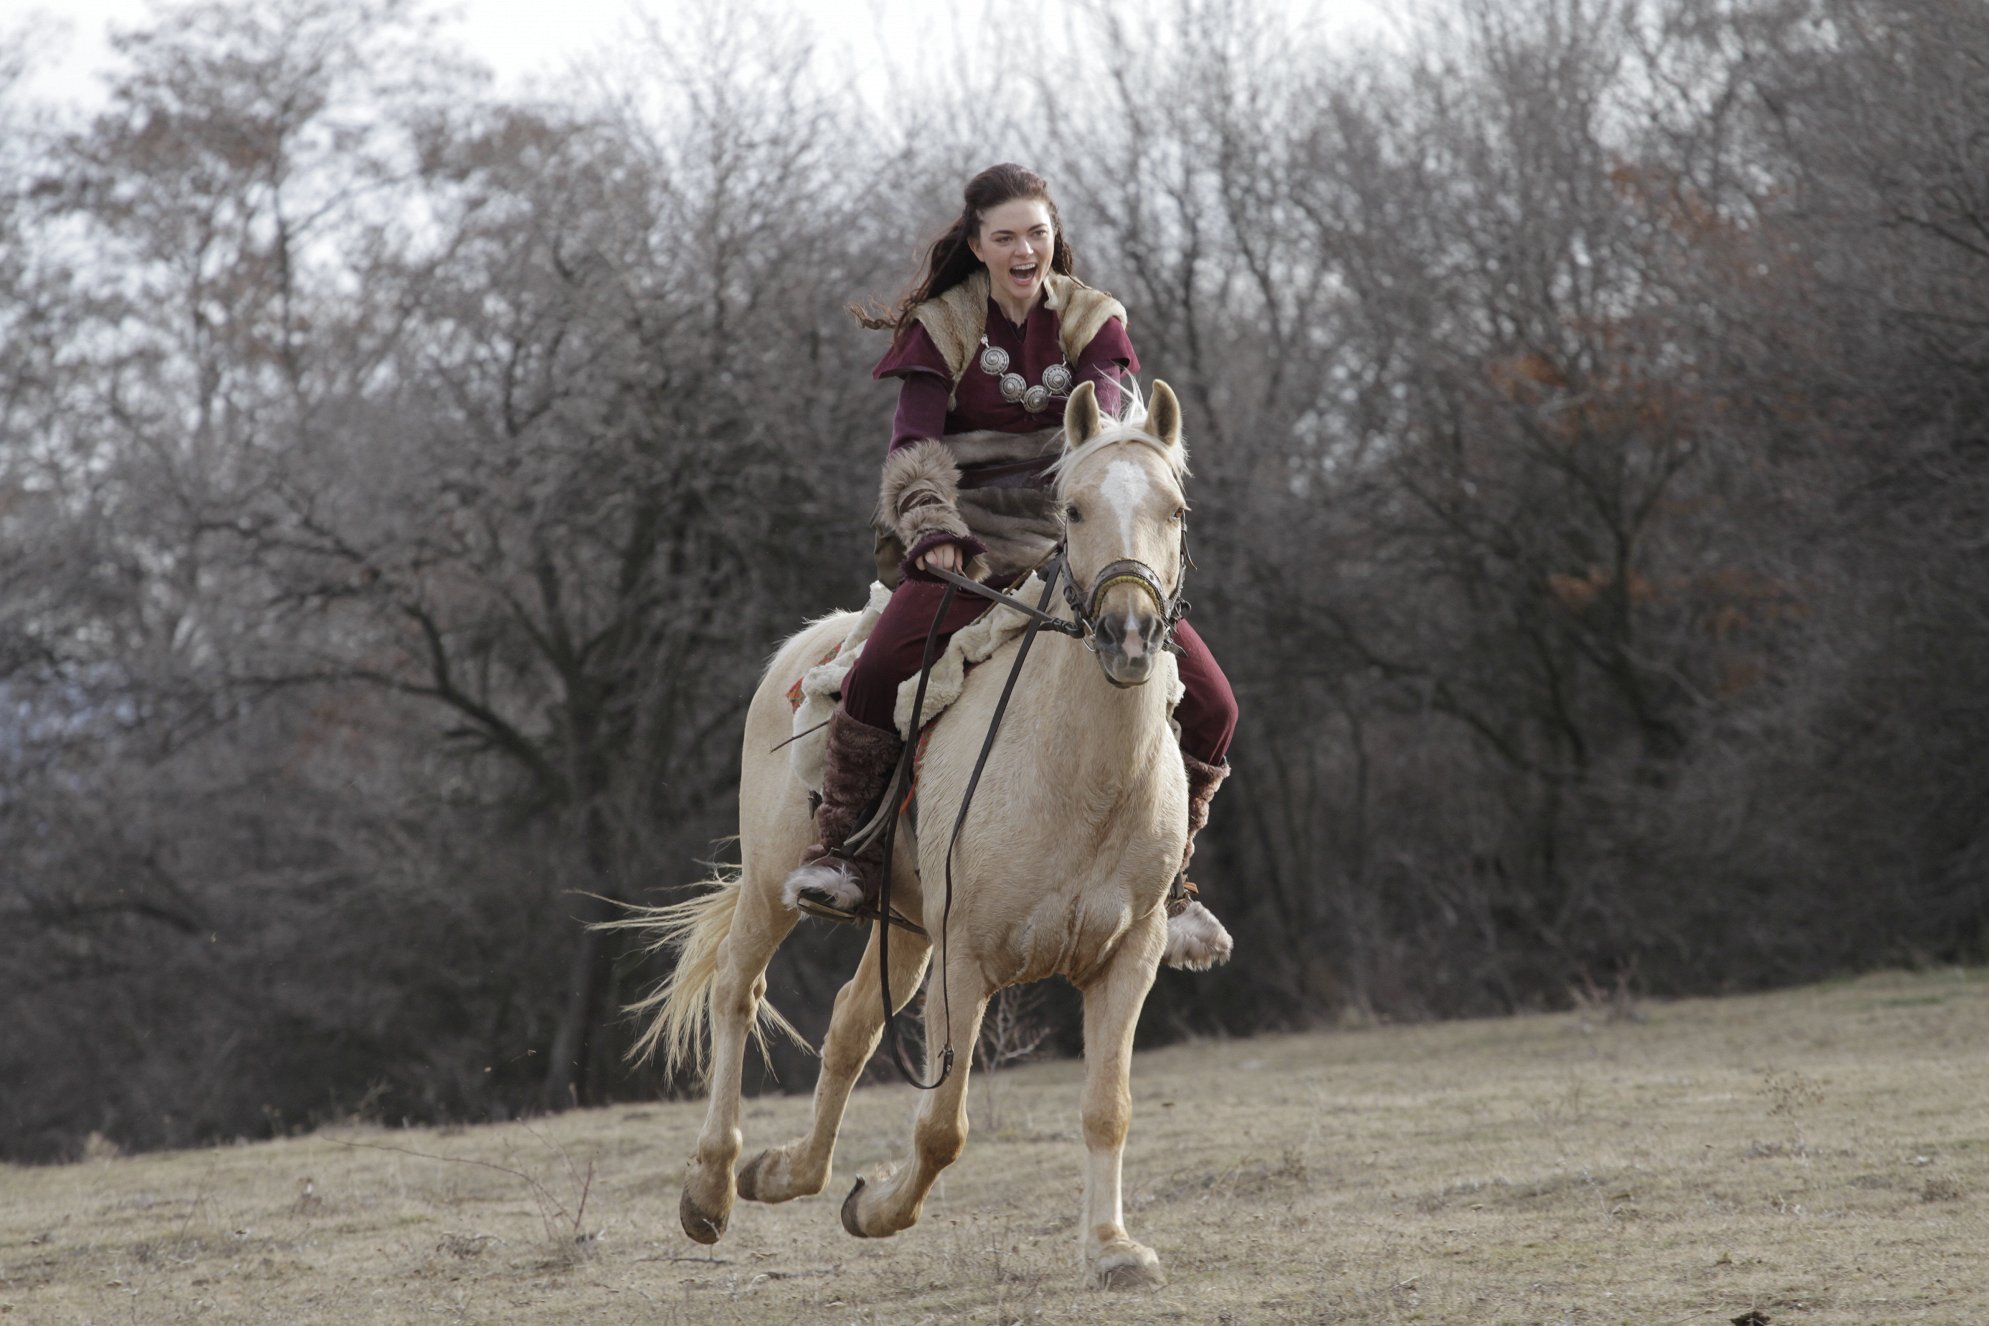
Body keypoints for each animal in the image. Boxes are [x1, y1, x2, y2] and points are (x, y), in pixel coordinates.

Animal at [628, 377, 1193, 1288]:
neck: (1081, 779)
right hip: (773, 887)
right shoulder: (964, 958)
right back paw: (711, 1188)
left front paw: (1112, 1249)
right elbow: (941, 1128)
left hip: (900, 920)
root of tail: (808, 643)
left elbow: (1107, 1108)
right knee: (735, 992)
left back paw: (786, 1173)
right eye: (1070, 510)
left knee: (849, 1025)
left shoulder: (1126, 957)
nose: (1129, 635)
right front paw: (879, 1210)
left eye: (1173, 510)